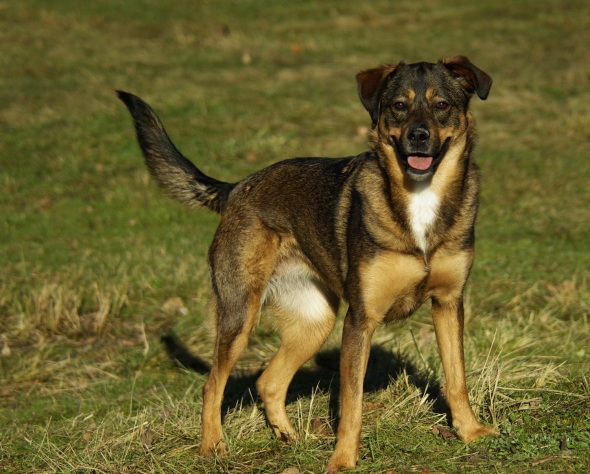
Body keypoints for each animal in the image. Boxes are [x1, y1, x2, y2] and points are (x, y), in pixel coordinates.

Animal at [120, 55, 500, 470]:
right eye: (399, 106)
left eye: (442, 105)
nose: (418, 135)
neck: (420, 197)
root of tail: (235, 188)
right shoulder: (360, 320)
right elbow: (352, 403)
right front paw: (344, 459)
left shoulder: (448, 303)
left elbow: (457, 378)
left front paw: (471, 432)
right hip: (240, 314)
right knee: (212, 385)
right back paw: (213, 446)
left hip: (315, 322)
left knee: (268, 382)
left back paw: (289, 437)